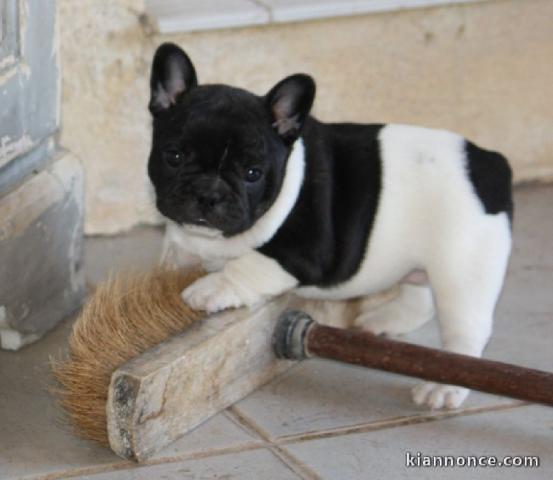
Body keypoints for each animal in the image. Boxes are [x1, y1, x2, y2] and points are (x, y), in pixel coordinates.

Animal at [148, 43, 512, 408]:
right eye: (174, 156)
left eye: (253, 173)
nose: (209, 194)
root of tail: (488, 161)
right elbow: (174, 254)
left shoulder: (303, 252)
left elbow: (249, 264)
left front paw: (212, 286)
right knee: (420, 295)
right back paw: (387, 319)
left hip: (462, 267)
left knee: (466, 330)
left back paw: (444, 386)